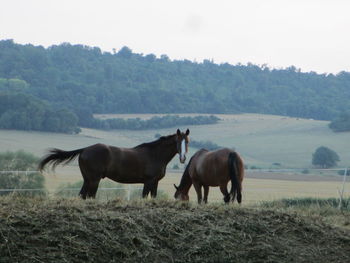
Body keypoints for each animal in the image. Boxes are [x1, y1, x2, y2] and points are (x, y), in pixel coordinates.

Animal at [39, 129, 190, 199]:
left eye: (187, 141)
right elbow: (144, 197)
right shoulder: (148, 181)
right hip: (94, 180)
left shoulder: (155, 182)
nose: (183, 158)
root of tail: (85, 149)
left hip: (87, 179)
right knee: (90, 196)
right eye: (177, 141)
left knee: (82, 195)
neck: (155, 154)